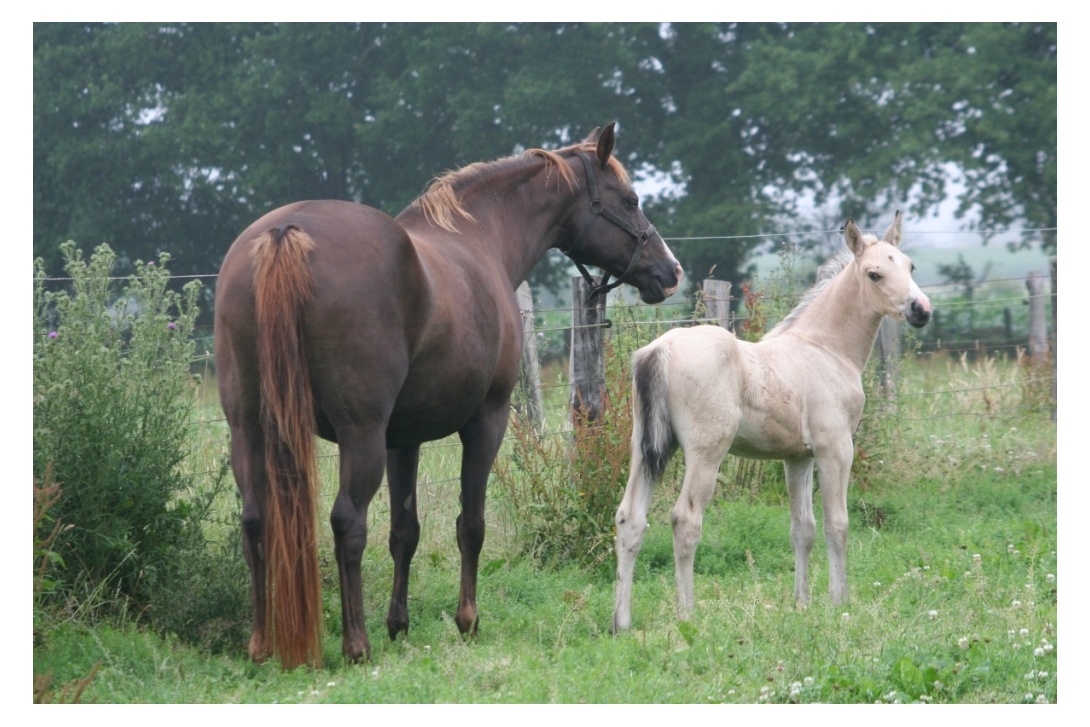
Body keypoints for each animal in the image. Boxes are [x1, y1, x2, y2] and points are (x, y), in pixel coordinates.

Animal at [214, 122, 680, 667]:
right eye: (630, 200)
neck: (481, 237)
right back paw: (356, 644)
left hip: (250, 427)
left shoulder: (402, 439)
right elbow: (470, 524)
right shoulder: (484, 423)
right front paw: (467, 620)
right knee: (347, 523)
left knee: (256, 520)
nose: (670, 271)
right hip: (359, 434)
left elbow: (405, 531)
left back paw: (261, 645)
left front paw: (399, 624)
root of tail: (285, 234)